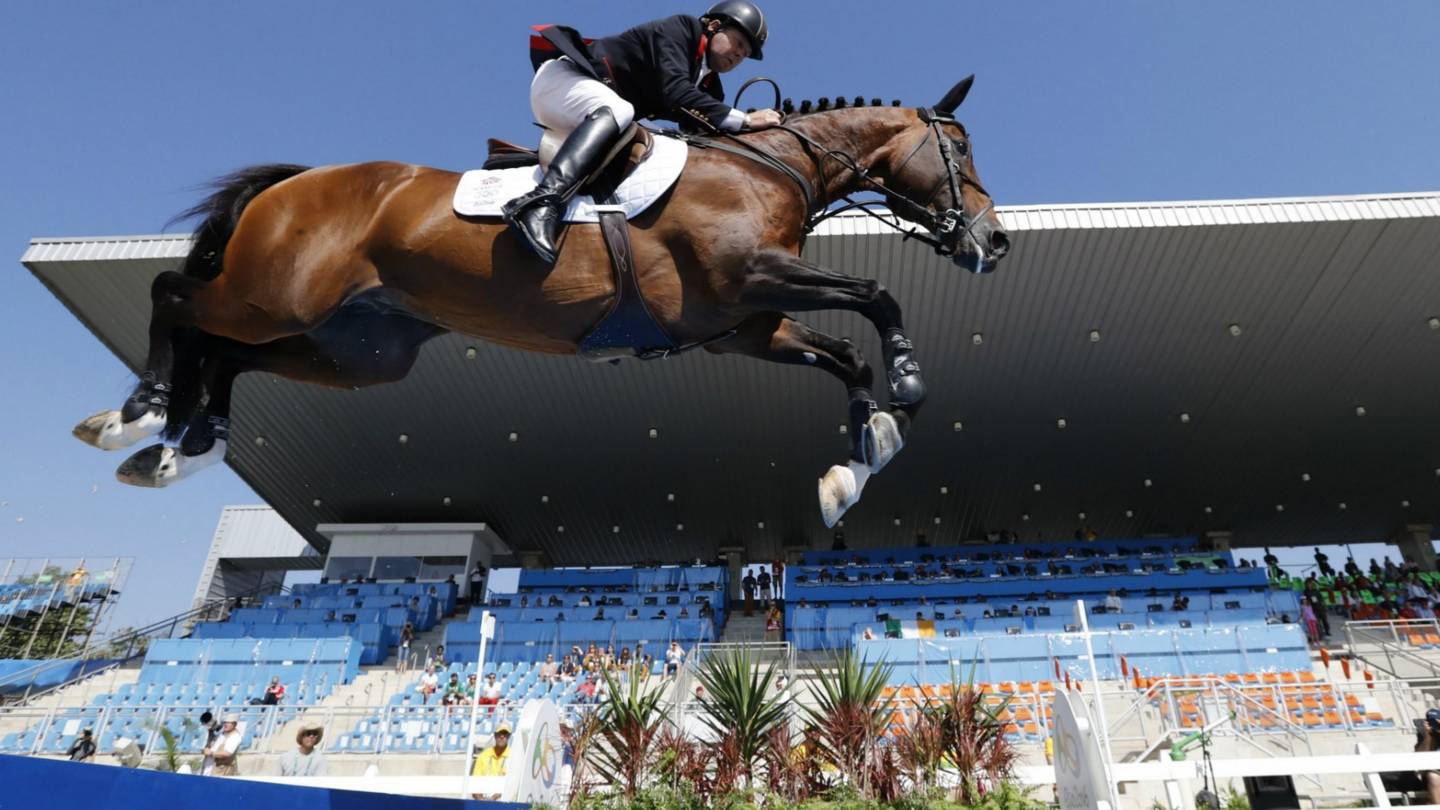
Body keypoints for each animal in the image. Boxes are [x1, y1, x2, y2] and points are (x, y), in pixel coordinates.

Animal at [73, 75, 1008, 527]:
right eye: (959, 147)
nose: (993, 242)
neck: (767, 168)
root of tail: (293, 182)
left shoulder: (741, 326)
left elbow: (845, 354)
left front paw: (857, 463)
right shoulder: (750, 285)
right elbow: (879, 297)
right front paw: (907, 393)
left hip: (355, 351)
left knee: (227, 353)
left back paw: (180, 446)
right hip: (275, 295)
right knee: (176, 296)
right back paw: (135, 414)